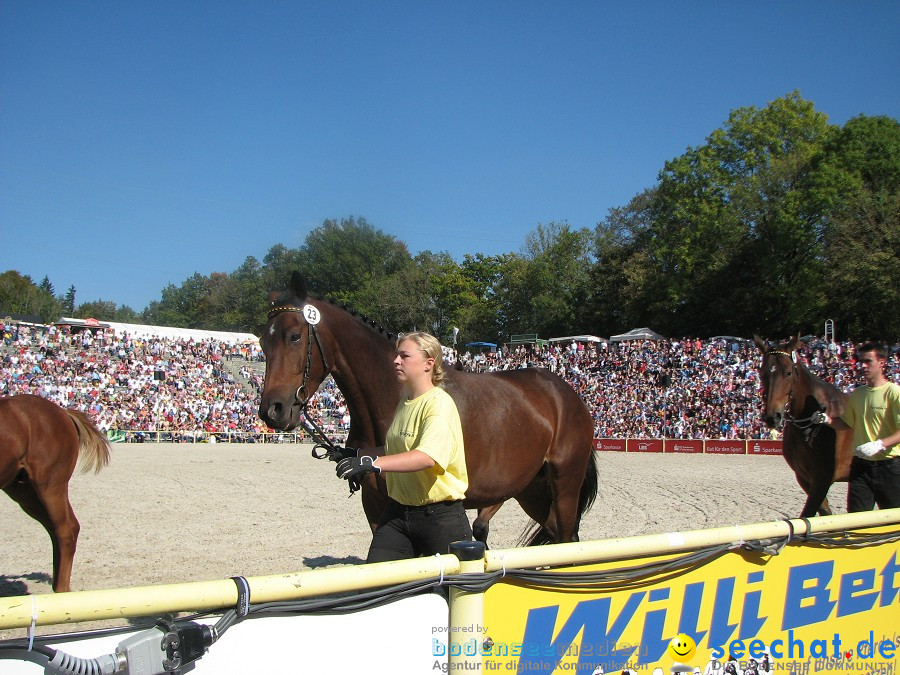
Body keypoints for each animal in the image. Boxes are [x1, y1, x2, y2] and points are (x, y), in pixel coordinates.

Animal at [0, 396, 110, 592]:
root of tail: (64, 412)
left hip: (50, 486)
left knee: (65, 530)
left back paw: (60, 590)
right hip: (25, 491)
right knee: (59, 530)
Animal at [260, 272, 596, 548]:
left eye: (294, 336)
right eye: (263, 341)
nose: (271, 411)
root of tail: (567, 393)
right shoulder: (376, 505)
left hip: (564, 485)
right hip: (531, 489)